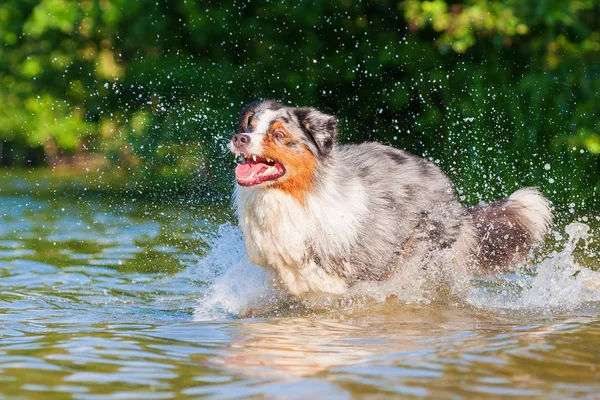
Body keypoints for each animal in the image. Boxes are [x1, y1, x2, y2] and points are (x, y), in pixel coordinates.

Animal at [230, 100, 552, 298]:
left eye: (278, 134)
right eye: (250, 126)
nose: (239, 138)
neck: (293, 196)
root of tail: (453, 198)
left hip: (423, 249)